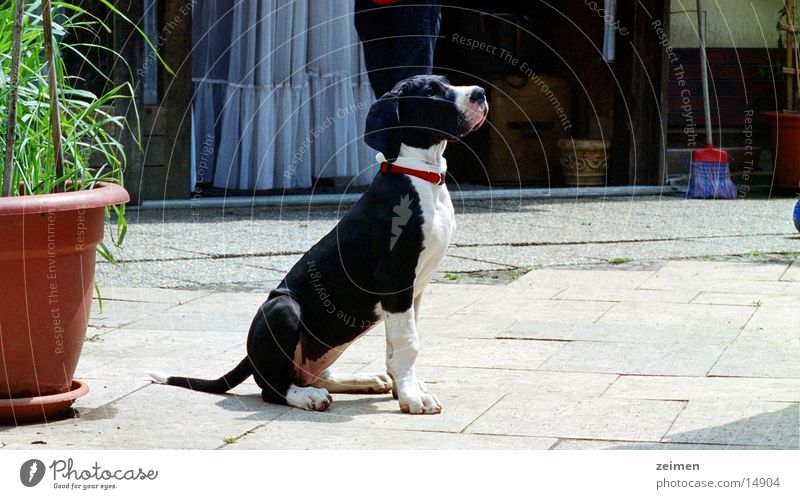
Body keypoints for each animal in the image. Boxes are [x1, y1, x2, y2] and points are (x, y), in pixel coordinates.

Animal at [151, 75, 488, 418]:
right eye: (432, 91)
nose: (480, 93)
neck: (418, 175)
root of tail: (251, 357)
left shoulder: (413, 290)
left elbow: (400, 342)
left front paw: (405, 387)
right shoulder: (394, 279)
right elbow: (409, 343)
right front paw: (412, 397)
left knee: (313, 375)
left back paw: (363, 380)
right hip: (282, 307)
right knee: (273, 388)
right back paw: (306, 397)